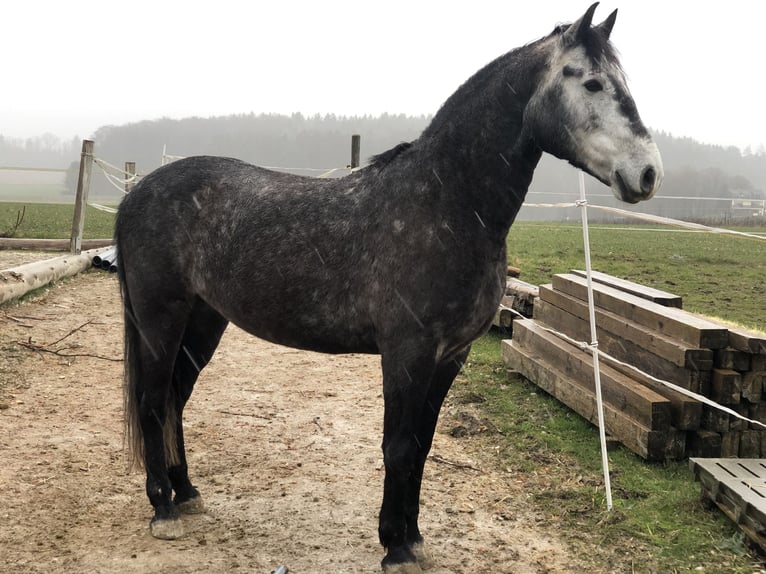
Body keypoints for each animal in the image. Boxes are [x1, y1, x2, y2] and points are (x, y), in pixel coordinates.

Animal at [115, 4, 662, 572]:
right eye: (593, 83)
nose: (647, 174)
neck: (445, 204)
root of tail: (137, 194)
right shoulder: (408, 351)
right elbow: (397, 446)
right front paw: (394, 547)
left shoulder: (451, 355)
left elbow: (421, 446)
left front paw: (413, 537)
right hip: (160, 318)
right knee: (153, 400)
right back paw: (163, 509)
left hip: (204, 319)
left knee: (176, 397)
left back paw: (186, 492)